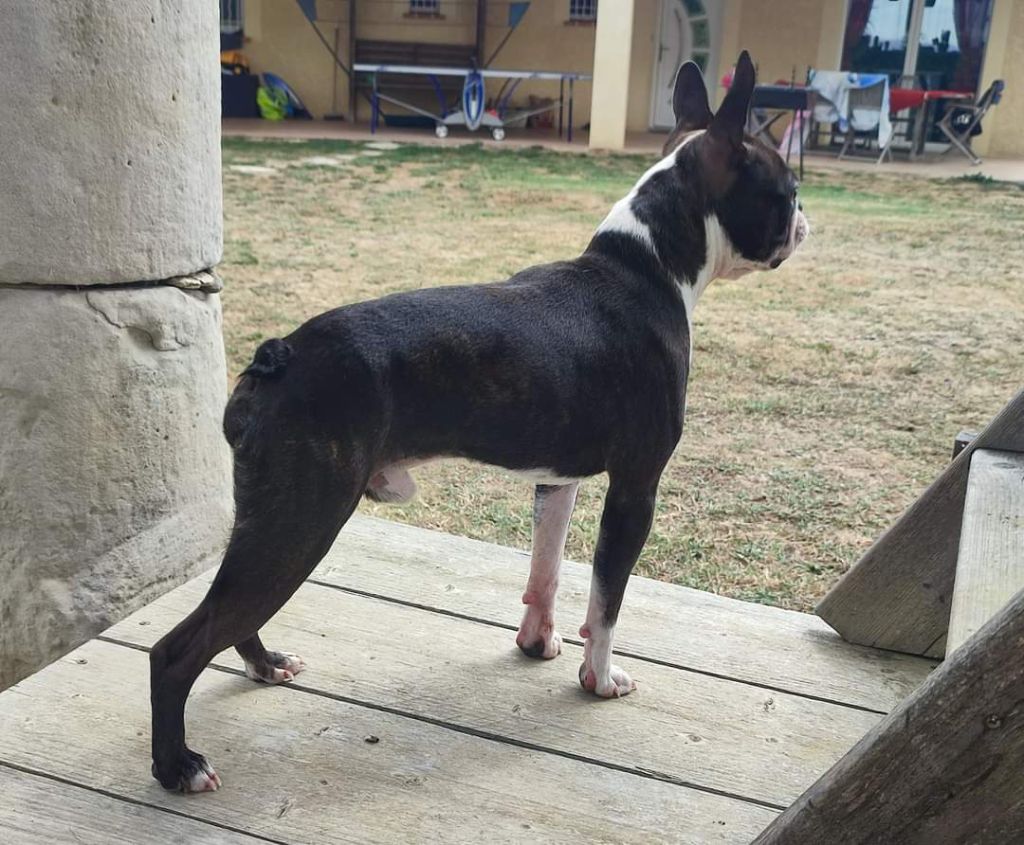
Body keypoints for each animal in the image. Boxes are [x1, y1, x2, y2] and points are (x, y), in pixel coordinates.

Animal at [150, 51, 808, 792]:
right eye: (787, 191)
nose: (805, 221)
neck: (649, 264)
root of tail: (281, 355)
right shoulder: (636, 489)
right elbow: (606, 599)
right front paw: (600, 677)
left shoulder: (559, 478)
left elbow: (548, 568)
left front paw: (537, 641)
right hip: (301, 521)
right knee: (178, 647)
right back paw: (177, 765)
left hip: (272, 519)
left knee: (230, 611)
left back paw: (264, 664)